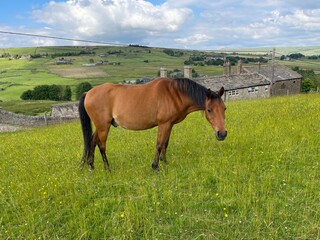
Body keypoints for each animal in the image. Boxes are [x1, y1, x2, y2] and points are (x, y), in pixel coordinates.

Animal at [78, 77, 226, 171]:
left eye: (224, 108)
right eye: (209, 110)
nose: (222, 134)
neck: (174, 93)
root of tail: (88, 92)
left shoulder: (169, 124)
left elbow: (165, 143)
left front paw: (165, 162)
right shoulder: (163, 124)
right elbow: (159, 144)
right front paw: (156, 166)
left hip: (101, 126)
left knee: (92, 141)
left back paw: (91, 165)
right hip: (104, 126)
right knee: (101, 145)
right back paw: (107, 168)